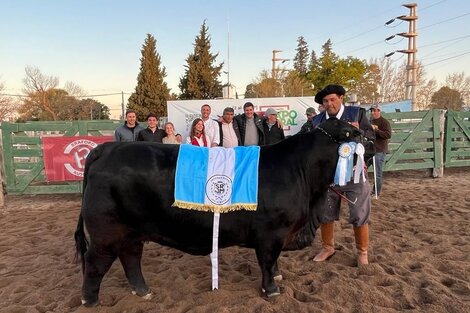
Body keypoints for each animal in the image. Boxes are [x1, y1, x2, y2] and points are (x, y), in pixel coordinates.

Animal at [74, 117, 364, 304]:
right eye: (350, 135)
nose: (370, 141)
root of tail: (109, 147)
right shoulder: (271, 234)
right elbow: (268, 262)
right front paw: (271, 290)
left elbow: (273, 262)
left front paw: (278, 276)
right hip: (107, 232)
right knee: (96, 262)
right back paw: (90, 300)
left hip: (131, 232)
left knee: (130, 258)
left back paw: (143, 290)